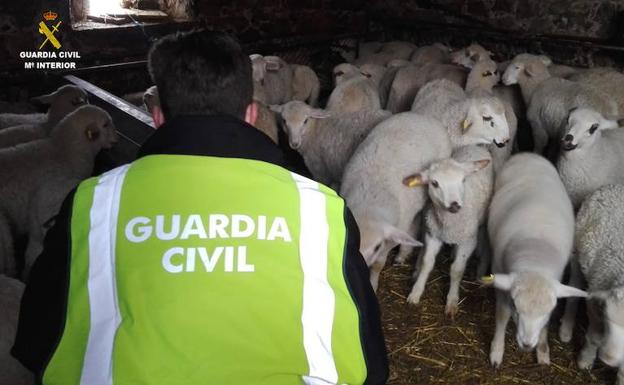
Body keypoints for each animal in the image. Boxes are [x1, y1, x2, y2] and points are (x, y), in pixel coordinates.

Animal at [338, 112, 450, 290]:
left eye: (376, 247)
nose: (359, 267)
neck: (370, 202)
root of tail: (422, 116)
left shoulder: (390, 237)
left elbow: (378, 264)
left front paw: (373, 284)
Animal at [402, 146, 494, 316]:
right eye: (434, 183)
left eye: (463, 180)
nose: (454, 205)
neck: (449, 224)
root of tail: (476, 146)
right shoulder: (433, 235)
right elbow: (427, 262)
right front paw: (416, 292)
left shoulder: (468, 241)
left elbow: (456, 269)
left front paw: (452, 301)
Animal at [488, 152, 584, 366]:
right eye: (516, 307)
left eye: (548, 311)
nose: (526, 344)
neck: (535, 260)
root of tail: (528, 154)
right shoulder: (499, 270)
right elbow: (501, 315)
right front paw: (497, 350)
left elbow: (546, 326)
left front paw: (542, 349)